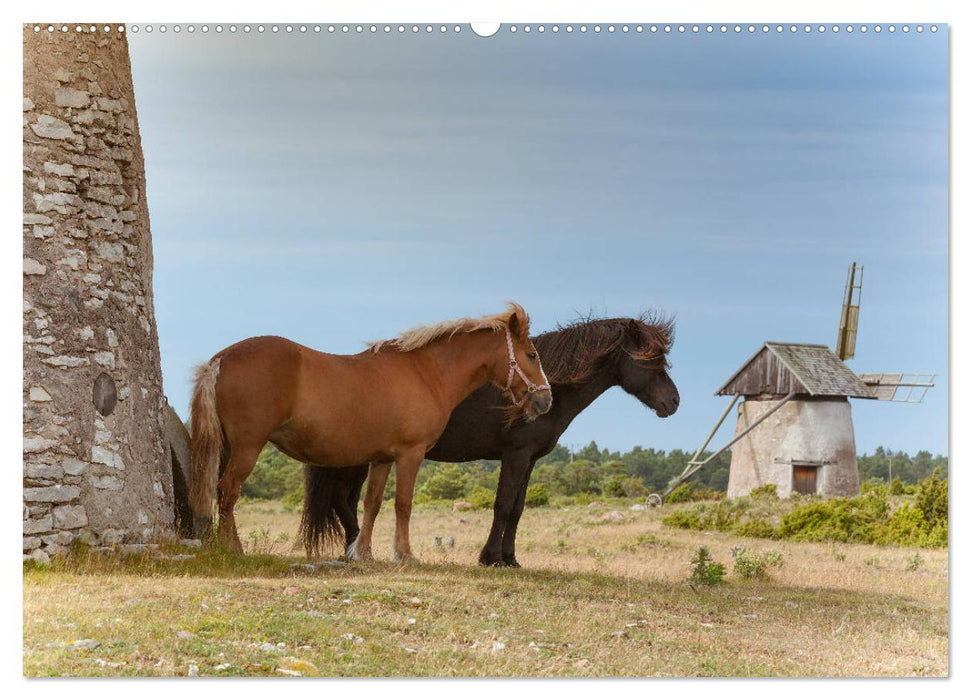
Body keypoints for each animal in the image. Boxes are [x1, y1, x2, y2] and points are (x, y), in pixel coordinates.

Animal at [189, 300, 556, 556]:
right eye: (532, 354)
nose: (546, 400)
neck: (426, 372)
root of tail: (220, 359)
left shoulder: (381, 458)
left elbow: (373, 504)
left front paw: (363, 552)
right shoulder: (410, 454)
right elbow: (403, 505)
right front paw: (404, 554)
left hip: (226, 447)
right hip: (248, 446)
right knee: (228, 491)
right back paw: (232, 549)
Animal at [302, 314, 676, 568]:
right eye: (652, 360)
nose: (674, 402)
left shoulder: (529, 459)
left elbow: (518, 509)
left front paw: (510, 558)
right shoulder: (515, 455)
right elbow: (503, 505)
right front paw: (491, 557)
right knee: (343, 500)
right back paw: (355, 550)